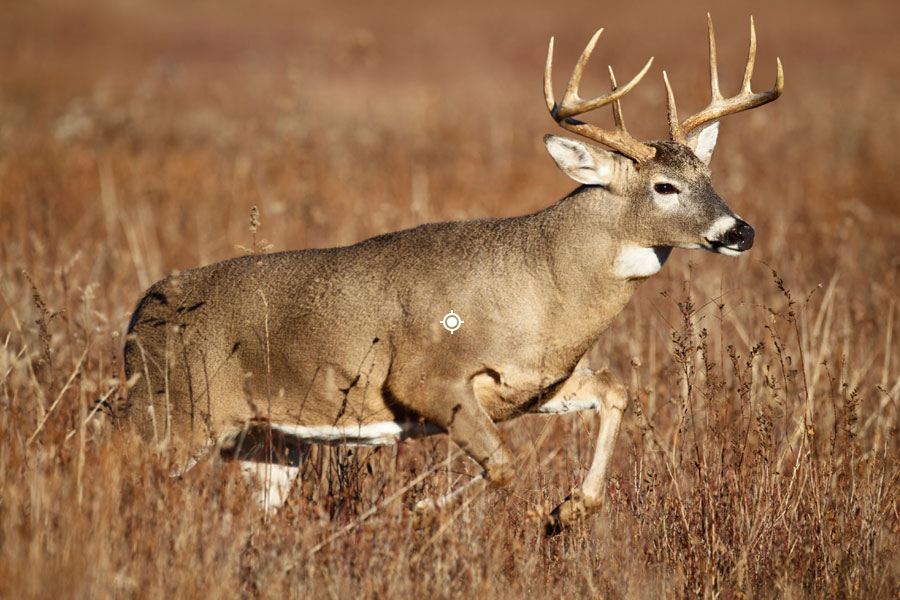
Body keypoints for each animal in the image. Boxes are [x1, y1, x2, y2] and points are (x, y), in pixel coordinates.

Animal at [125, 12, 780, 528]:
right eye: (664, 186)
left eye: (708, 175)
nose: (740, 231)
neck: (543, 289)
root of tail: (138, 316)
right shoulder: (424, 377)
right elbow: (504, 464)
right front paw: (423, 509)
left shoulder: (535, 384)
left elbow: (615, 391)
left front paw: (566, 511)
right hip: (174, 410)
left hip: (268, 444)